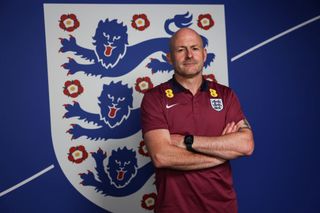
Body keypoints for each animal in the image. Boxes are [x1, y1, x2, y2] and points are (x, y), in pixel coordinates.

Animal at [60, 11, 215, 76]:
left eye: (116, 37)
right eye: (105, 35)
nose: (110, 41)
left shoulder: (108, 68)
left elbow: (89, 66)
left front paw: (74, 65)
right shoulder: (101, 60)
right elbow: (88, 53)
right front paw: (70, 45)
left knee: (210, 55)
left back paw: (155, 64)